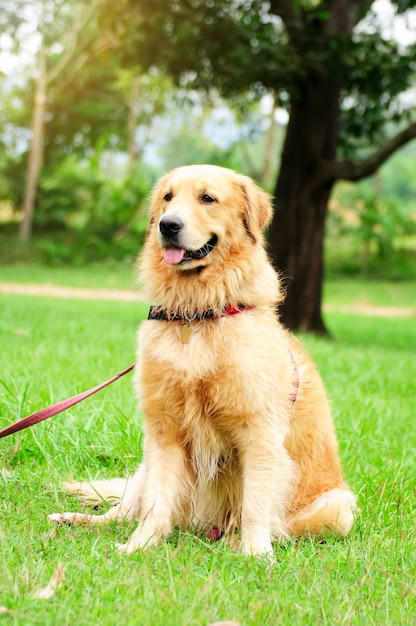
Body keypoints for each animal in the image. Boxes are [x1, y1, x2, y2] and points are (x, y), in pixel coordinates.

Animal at [50, 163, 356, 552]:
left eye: (207, 198)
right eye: (168, 197)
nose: (168, 225)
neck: (198, 314)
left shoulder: (259, 430)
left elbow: (255, 503)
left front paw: (256, 554)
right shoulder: (163, 429)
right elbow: (156, 502)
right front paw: (140, 547)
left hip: (338, 510)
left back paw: (234, 542)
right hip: (145, 468)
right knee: (122, 511)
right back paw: (76, 521)